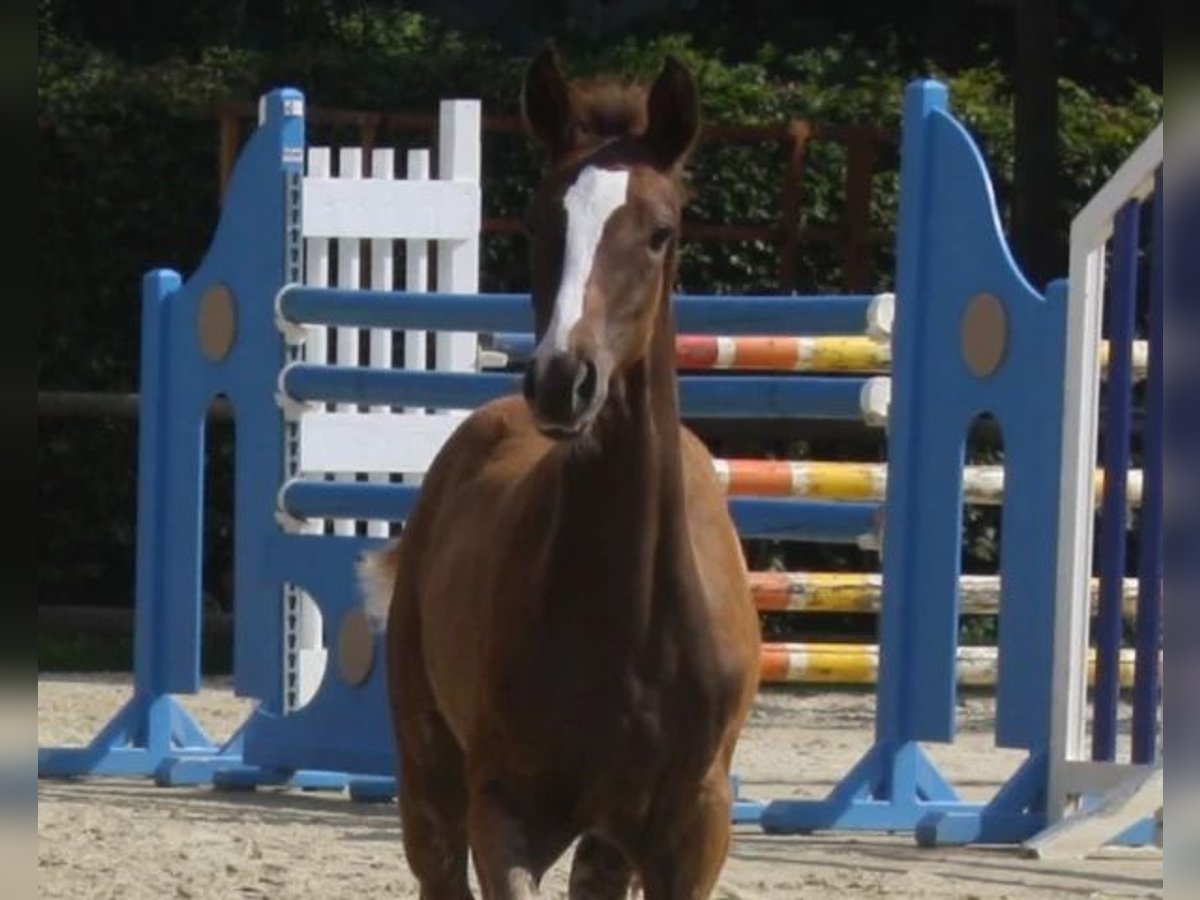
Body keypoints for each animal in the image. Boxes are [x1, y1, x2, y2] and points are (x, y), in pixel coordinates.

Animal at [360, 49, 763, 900]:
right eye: (539, 222)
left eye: (660, 232)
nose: (561, 380)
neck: (630, 610)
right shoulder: (504, 812)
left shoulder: (693, 830)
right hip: (431, 788)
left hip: (606, 844)